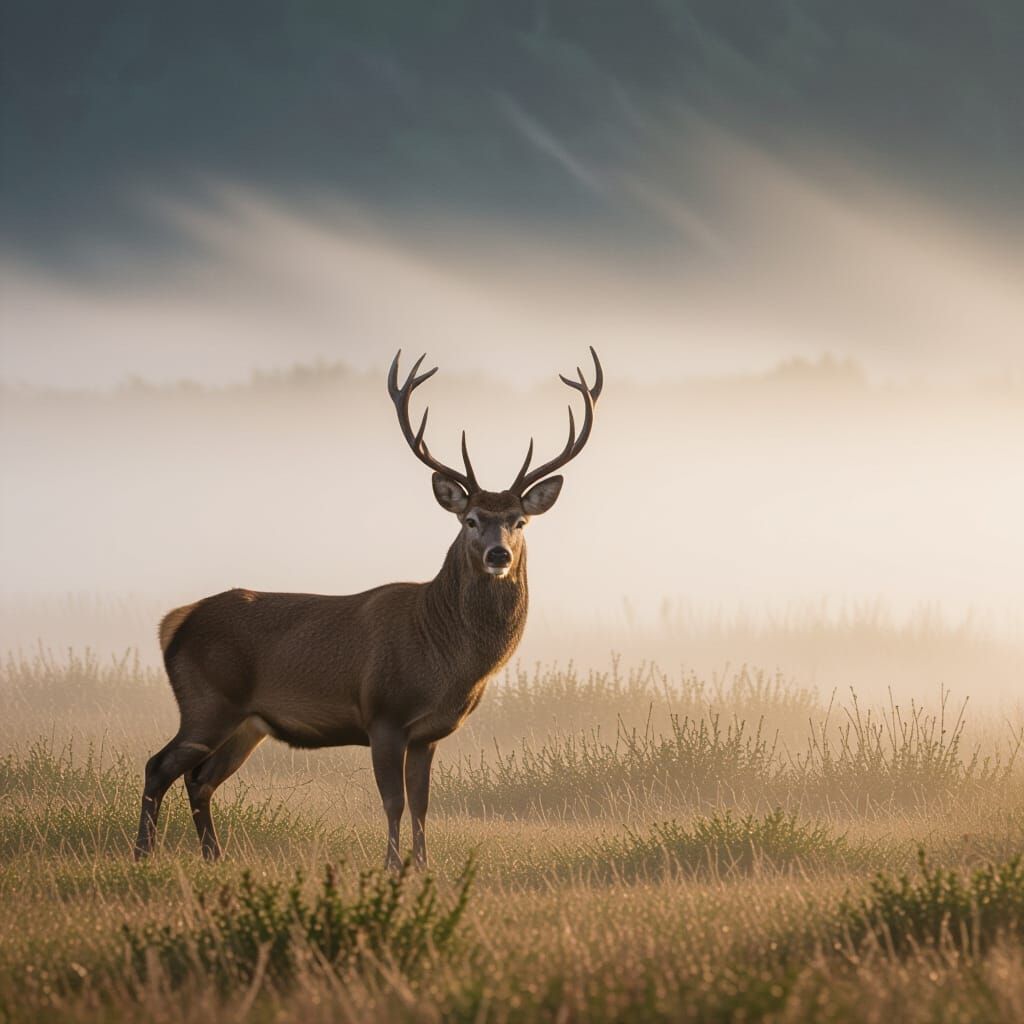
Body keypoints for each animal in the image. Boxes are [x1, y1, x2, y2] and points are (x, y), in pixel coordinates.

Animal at [134, 348, 603, 869]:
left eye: (519, 521)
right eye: (470, 519)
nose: (498, 554)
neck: (444, 656)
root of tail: (174, 623)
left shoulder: (428, 733)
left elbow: (421, 802)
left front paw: (423, 864)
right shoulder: (384, 713)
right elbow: (393, 800)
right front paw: (392, 864)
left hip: (247, 723)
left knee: (200, 779)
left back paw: (215, 857)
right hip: (207, 701)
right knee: (158, 766)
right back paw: (143, 855)